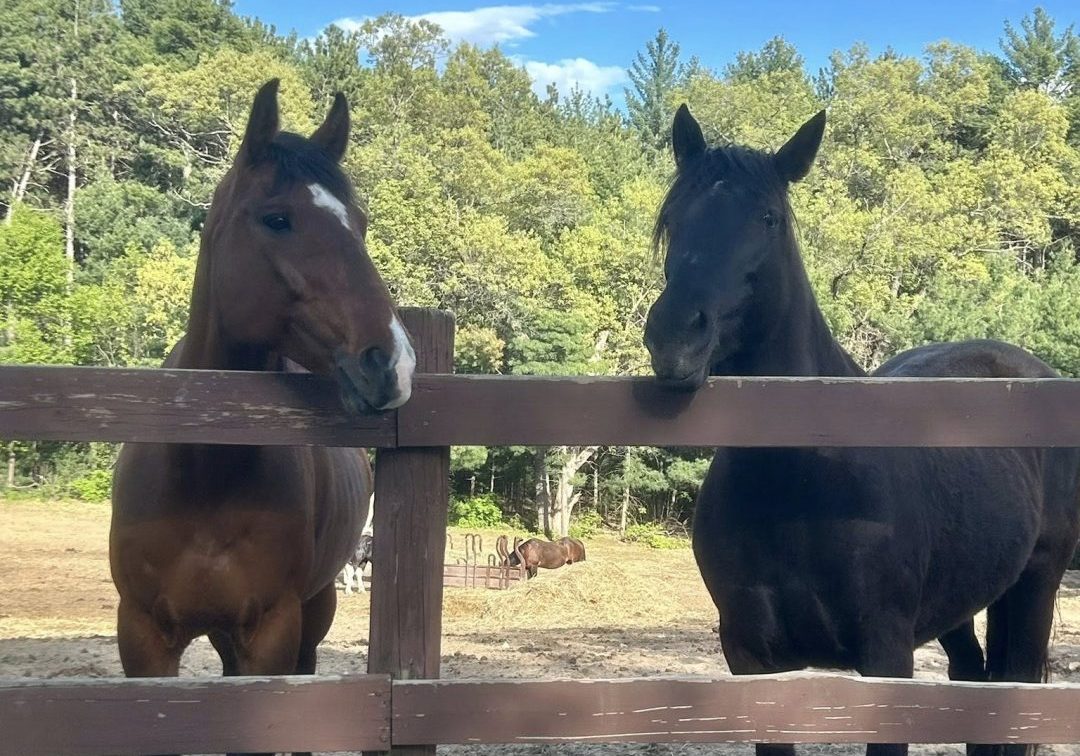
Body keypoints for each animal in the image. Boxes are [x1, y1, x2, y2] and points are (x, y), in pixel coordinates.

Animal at [109, 80, 415, 756]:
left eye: (359, 224)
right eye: (278, 218)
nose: (392, 362)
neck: (203, 470)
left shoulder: (271, 633)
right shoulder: (142, 638)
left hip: (312, 614)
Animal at [643, 104, 1080, 756]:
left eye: (768, 219)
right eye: (673, 218)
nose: (674, 336)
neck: (804, 481)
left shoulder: (886, 660)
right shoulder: (753, 662)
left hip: (1037, 584)